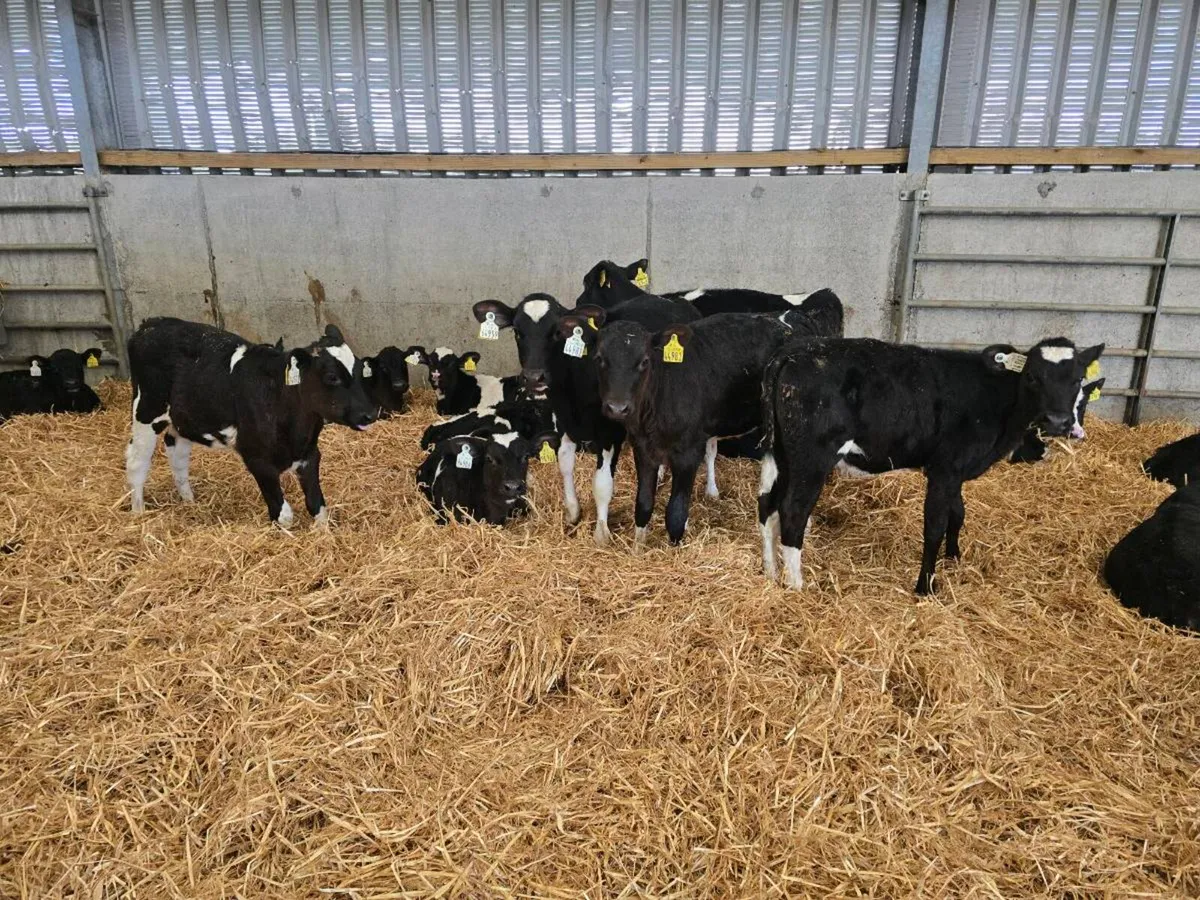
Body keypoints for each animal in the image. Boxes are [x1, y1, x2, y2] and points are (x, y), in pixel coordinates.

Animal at [125, 318, 376, 526]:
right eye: (332, 377)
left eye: (359, 369)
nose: (370, 414)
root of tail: (150, 324)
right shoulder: (257, 459)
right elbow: (283, 515)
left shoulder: (309, 454)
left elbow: (318, 507)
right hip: (146, 410)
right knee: (137, 461)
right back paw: (138, 512)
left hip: (183, 419)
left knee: (177, 456)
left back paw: (189, 502)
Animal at [472, 291, 700, 544]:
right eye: (517, 332)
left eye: (557, 333)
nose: (533, 377)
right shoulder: (563, 422)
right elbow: (564, 463)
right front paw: (573, 512)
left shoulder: (610, 431)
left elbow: (602, 483)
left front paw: (601, 533)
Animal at [589, 291, 845, 548]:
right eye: (599, 358)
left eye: (644, 361)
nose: (617, 408)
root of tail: (795, 317)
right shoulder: (643, 448)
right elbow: (643, 505)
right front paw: (638, 549)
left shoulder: (688, 453)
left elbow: (675, 514)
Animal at [758, 337, 1105, 595]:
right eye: (1033, 376)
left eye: (1077, 380)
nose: (1059, 422)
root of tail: (796, 352)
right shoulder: (945, 470)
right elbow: (935, 526)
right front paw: (925, 586)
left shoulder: (955, 471)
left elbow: (958, 513)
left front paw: (954, 557)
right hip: (811, 459)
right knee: (793, 512)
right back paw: (797, 585)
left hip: (782, 454)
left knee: (768, 506)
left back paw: (770, 573)